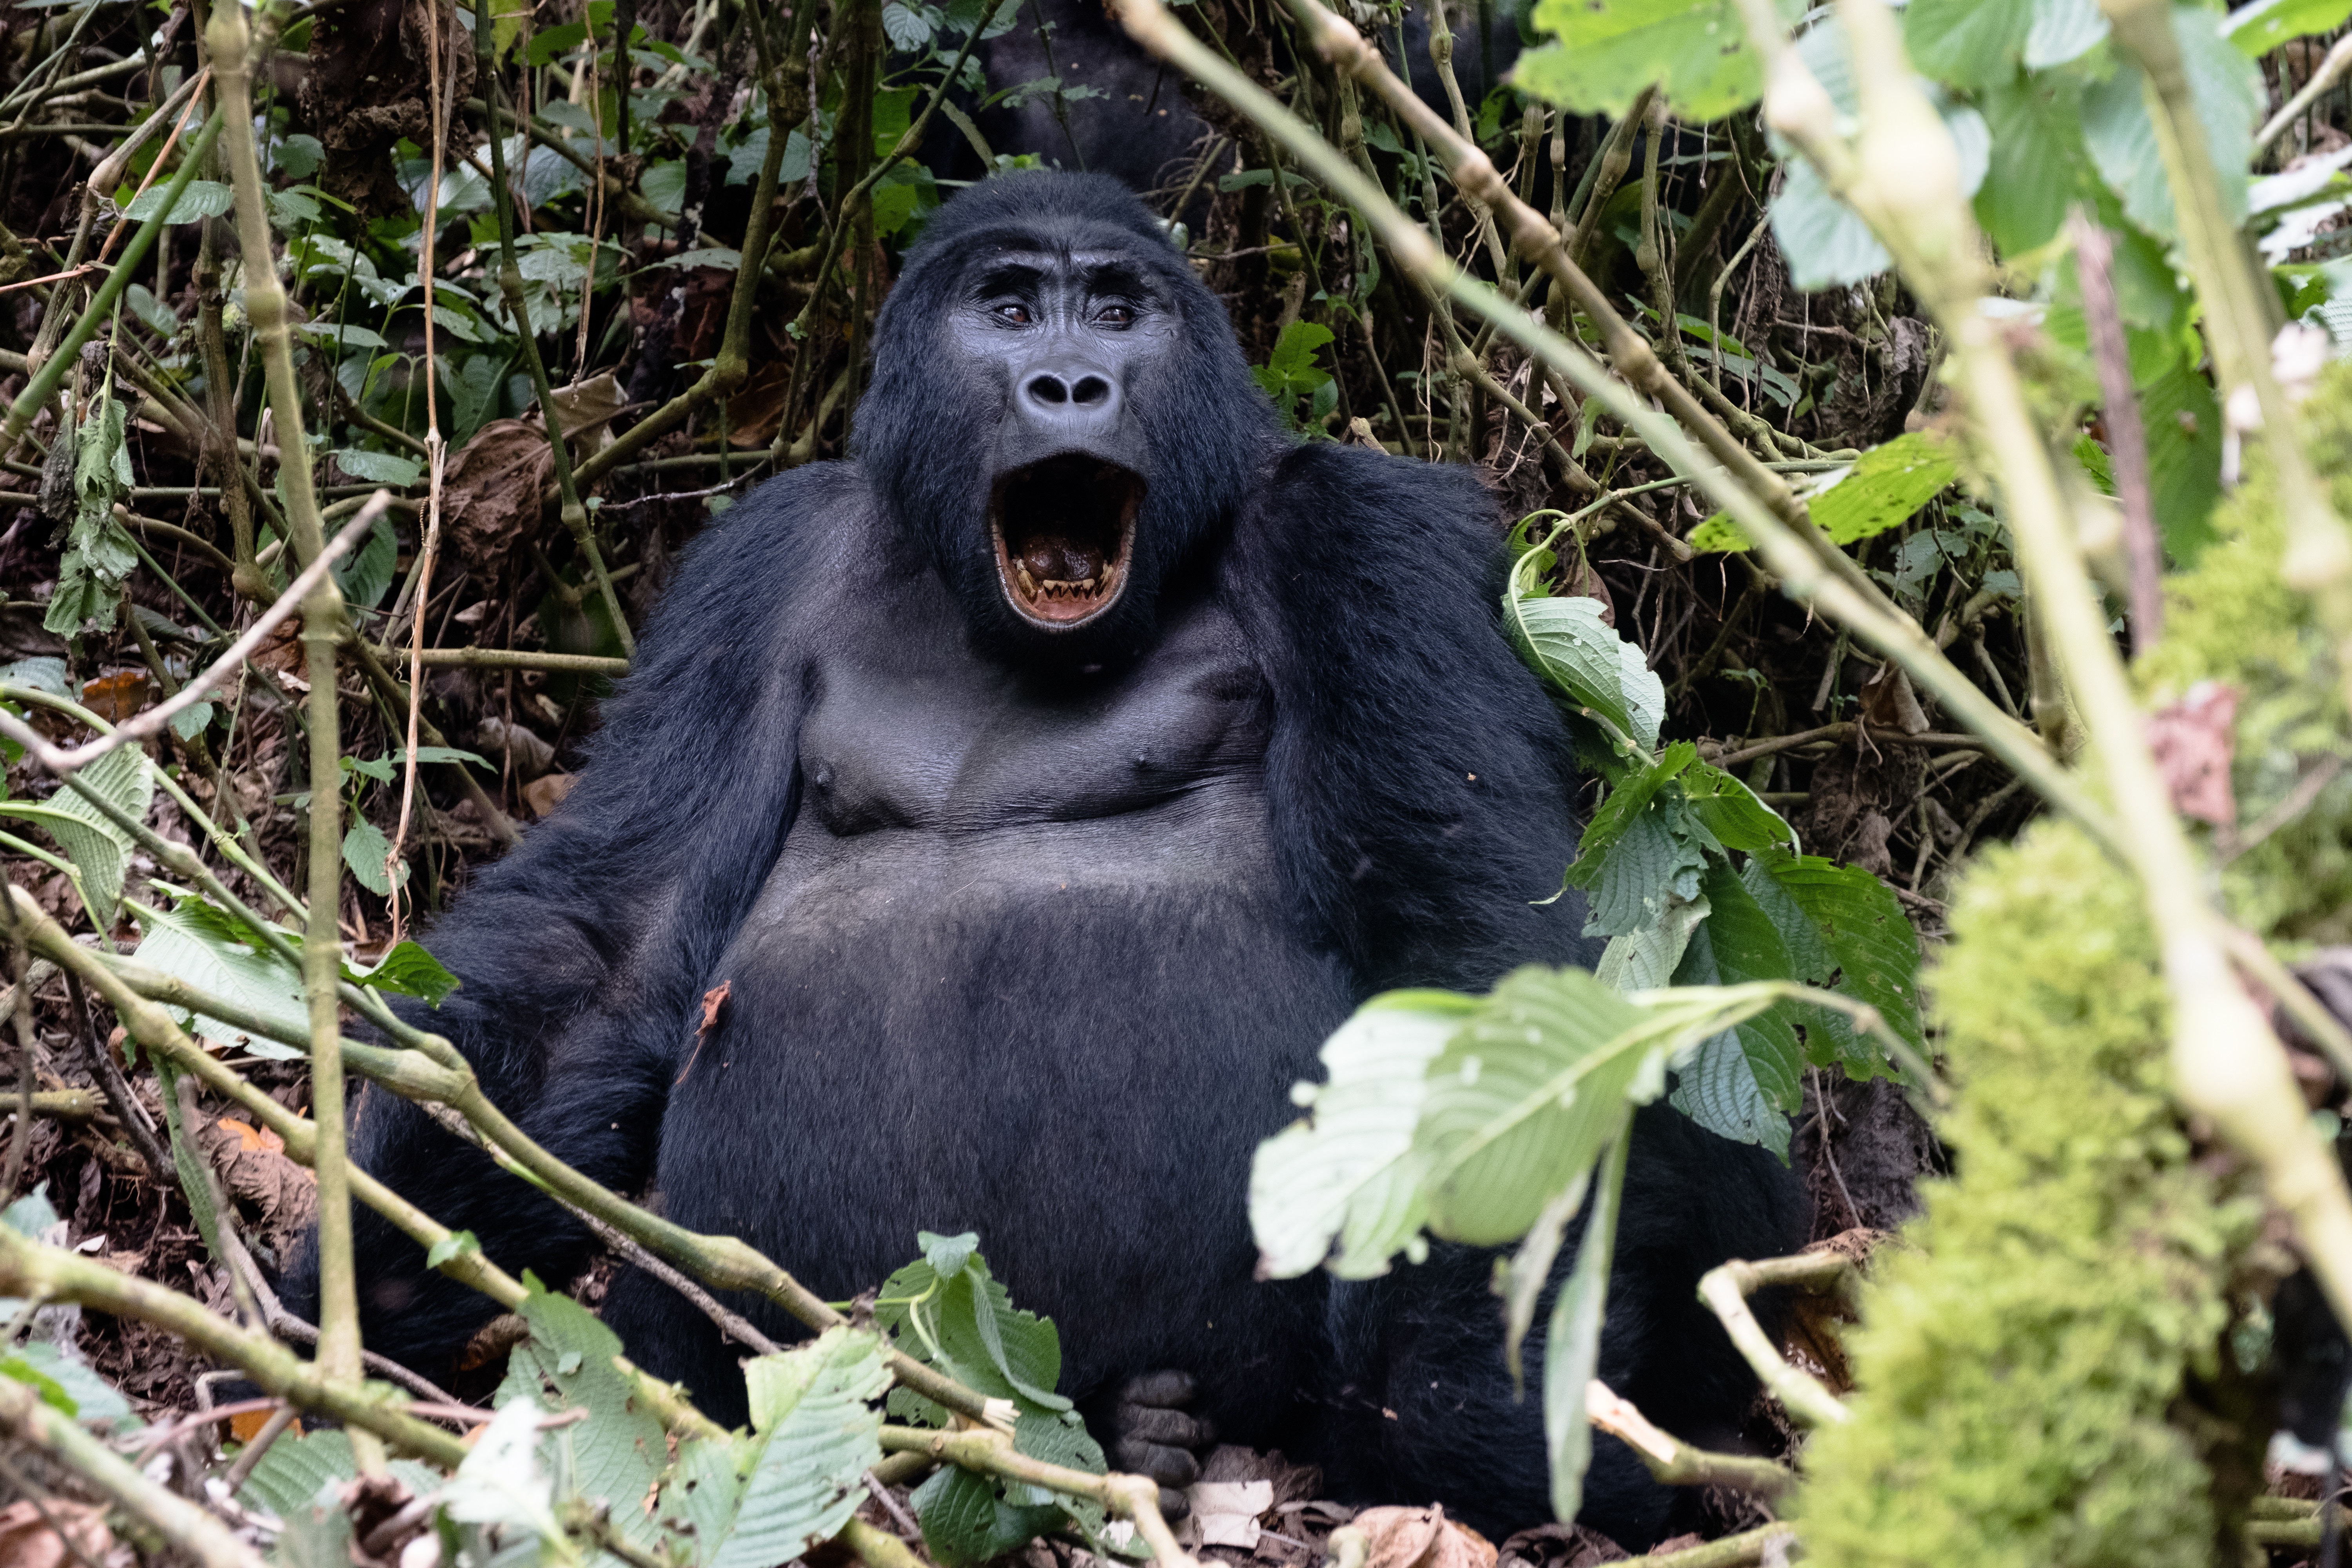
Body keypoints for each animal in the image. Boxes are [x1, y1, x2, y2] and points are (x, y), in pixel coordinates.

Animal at [303, 169, 1806, 1542]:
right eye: (1011, 308)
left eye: (1122, 313)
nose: (1072, 382)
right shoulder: (760, 562)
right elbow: (618, 936)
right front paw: (371, 1267)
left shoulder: (1359, 532)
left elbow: (1478, 936)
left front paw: (1477, 1421)